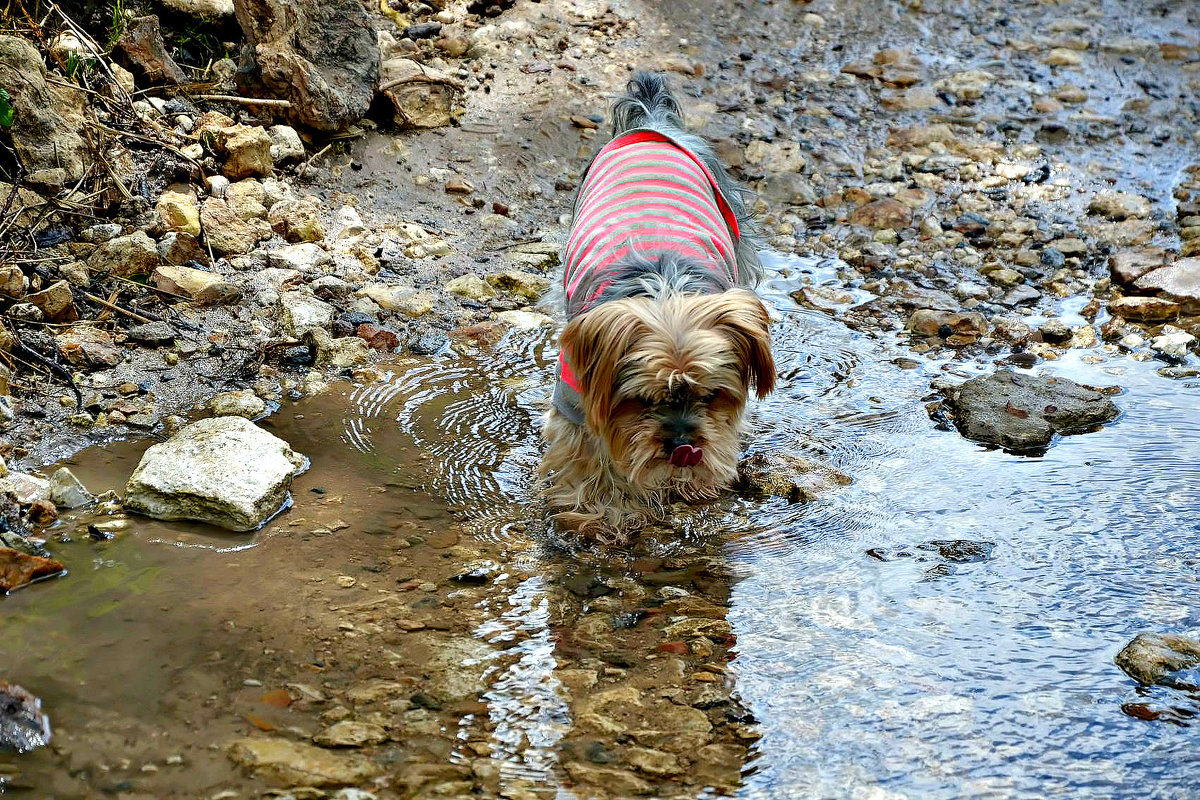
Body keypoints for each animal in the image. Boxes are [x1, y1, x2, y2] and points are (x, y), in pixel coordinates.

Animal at [540, 73, 772, 537]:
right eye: (642, 400)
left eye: (712, 395)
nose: (682, 445)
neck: (665, 291)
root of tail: (652, 119)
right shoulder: (576, 396)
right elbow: (587, 455)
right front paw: (600, 513)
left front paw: (697, 483)